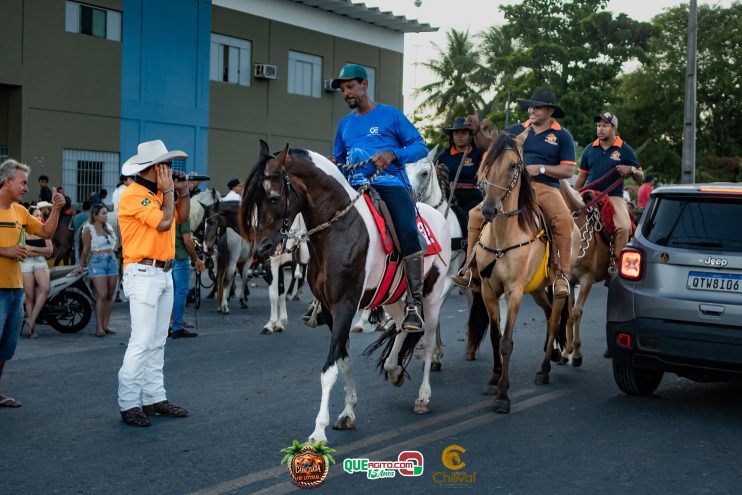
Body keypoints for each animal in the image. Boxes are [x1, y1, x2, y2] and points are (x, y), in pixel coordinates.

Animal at [244, 141, 454, 444]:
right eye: (254, 200)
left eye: (273, 197)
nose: (261, 249)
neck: (339, 230)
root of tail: (438, 215)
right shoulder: (330, 309)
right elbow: (343, 360)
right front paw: (347, 412)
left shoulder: (345, 305)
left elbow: (330, 368)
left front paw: (318, 431)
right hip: (392, 298)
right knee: (403, 326)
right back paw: (393, 369)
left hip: (433, 294)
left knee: (426, 340)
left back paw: (423, 397)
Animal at [474, 133, 580, 414]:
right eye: (486, 162)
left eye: (514, 165)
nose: (489, 210)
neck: (503, 236)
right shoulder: (489, 290)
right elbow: (495, 336)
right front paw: (494, 379)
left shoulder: (514, 290)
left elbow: (507, 342)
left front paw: (503, 396)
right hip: (537, 290)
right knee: (547, 312)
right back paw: (553, 352)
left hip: (557, 284)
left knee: (554, 319)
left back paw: (544, 369)